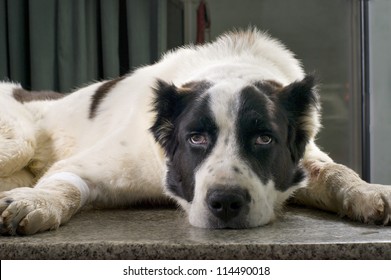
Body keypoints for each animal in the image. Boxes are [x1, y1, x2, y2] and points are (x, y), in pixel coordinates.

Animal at [0, 29, 391, 234]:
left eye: (264, 139)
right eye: (196, 138)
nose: (226, 202)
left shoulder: (304, 161)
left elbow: (336, 171)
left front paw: (369, 190)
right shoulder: (87, 166)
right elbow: (63, 184)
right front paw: (35, 202)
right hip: (18, 143)